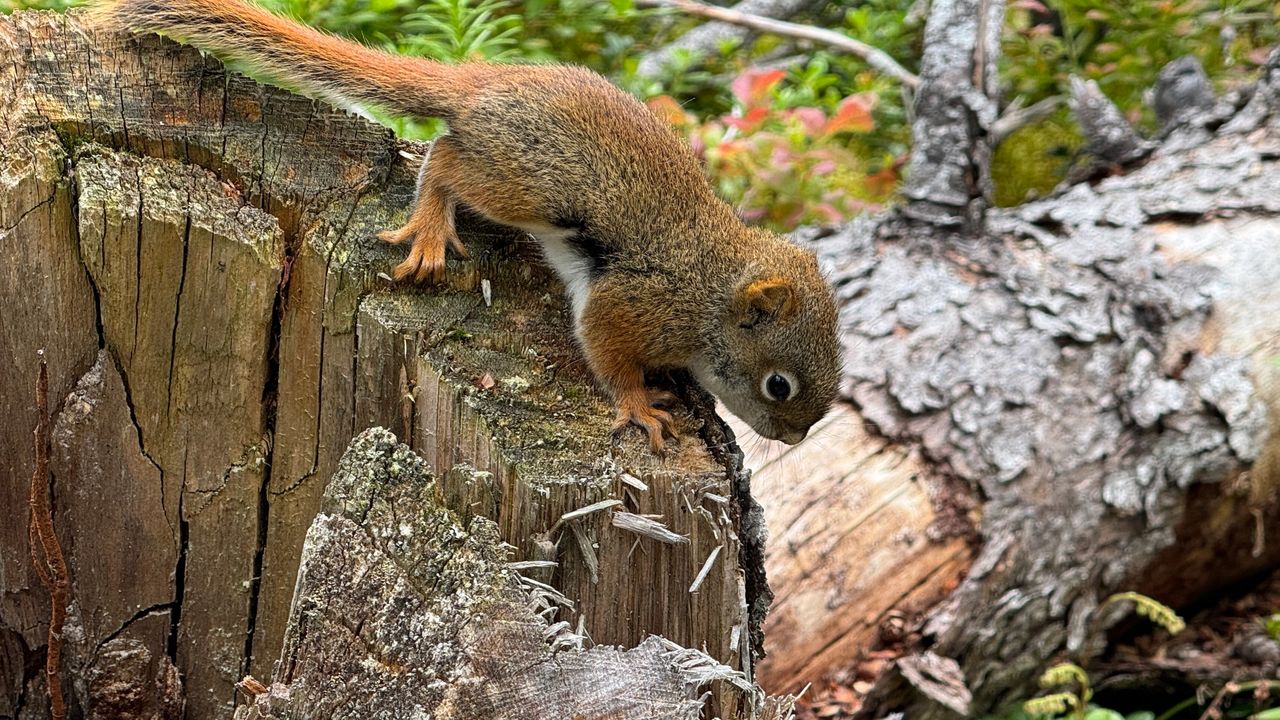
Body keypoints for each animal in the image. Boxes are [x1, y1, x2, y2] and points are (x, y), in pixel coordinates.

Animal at [91, 0, 841, 451]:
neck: (714, 292)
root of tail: (481, 83)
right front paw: (640, 406)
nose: (792, 440)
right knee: (447, 157)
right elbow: (605, 348)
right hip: (523, 184)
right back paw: (429, 224)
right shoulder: (636, 301)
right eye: (779, 385)